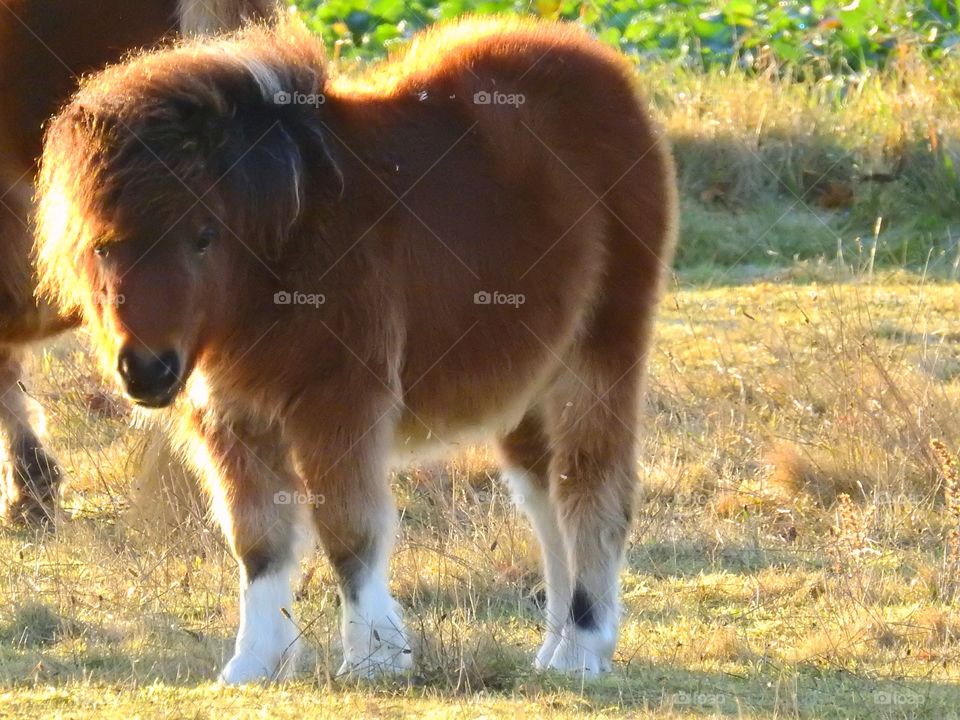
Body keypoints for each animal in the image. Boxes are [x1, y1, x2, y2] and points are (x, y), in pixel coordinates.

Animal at [35, 17, 677, 681]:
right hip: (525, 386)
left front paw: (375, 657)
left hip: (596, 359)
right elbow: (257, 541)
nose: (147, 370)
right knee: (546, 503)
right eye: (101, 246)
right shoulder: (233, 417)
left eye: (204, 236)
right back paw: (553, 650)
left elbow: (348, 534)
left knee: (589, 492)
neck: (288, 248)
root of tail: (607, 72)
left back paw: (583, 647)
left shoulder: (338, 405)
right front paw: (254, 663)